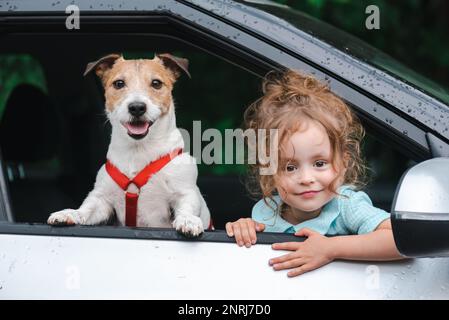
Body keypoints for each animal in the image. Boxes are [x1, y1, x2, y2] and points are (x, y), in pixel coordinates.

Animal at [46, 53, 211, 238]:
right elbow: (87, 209)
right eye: (119, 83)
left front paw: (188, 220)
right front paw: (70, 213)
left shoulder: (185, 192)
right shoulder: (102, 199)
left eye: (156, 83)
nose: (137, 107)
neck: (138, 150)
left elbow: (187, 207)